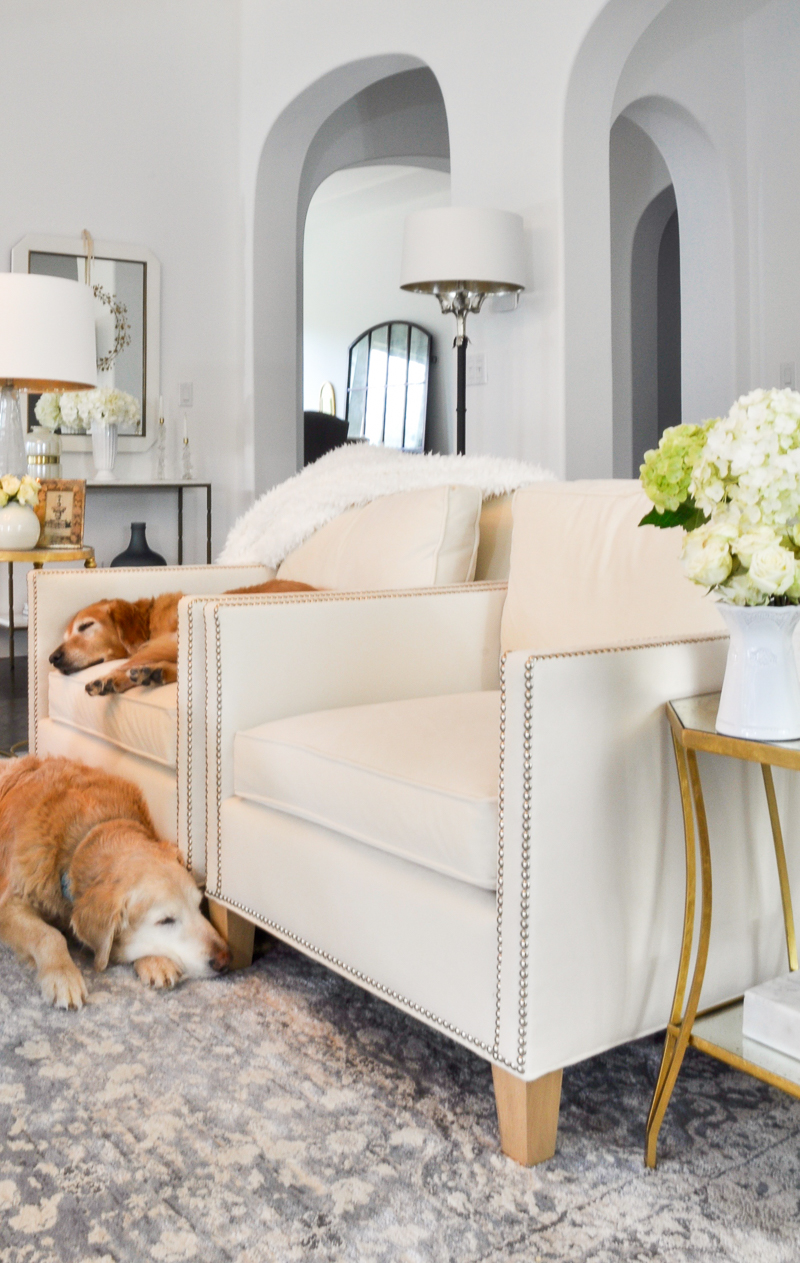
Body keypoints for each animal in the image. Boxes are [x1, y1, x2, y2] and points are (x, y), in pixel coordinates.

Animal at [0, 752, 231, 1010]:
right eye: (166, 920)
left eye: (199, 907)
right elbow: (49, 935)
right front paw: (62, 976)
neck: (87, 836)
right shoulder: (9, 904)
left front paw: (156, 961)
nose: (225, 960)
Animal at [49, 578, 314, 697]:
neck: (150, 620)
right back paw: (151, 673)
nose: (53, 658)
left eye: (86, 626)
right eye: (65, 635)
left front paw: (114, 676)